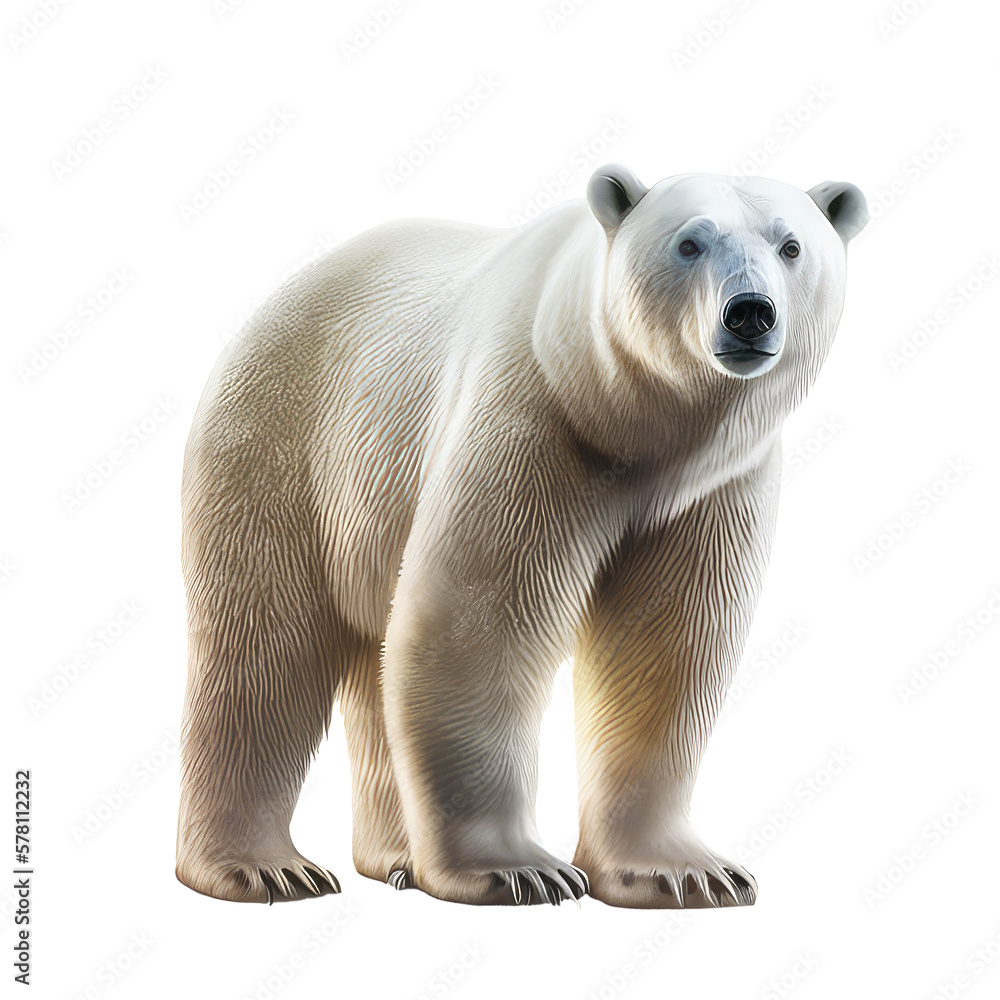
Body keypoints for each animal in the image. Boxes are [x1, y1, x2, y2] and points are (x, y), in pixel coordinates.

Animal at [176, 164, 867, 908]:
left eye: (791, 245)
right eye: (689, 242)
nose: (749, 312)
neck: (635, 424)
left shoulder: (712, 490)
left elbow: (669, 643)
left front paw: (687, 872)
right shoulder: (533, 423)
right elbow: (477, 621)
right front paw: (519, 869)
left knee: (369, 657)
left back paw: (397, 857)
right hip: (280, 439)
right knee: (263, 648)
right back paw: (264, 867)